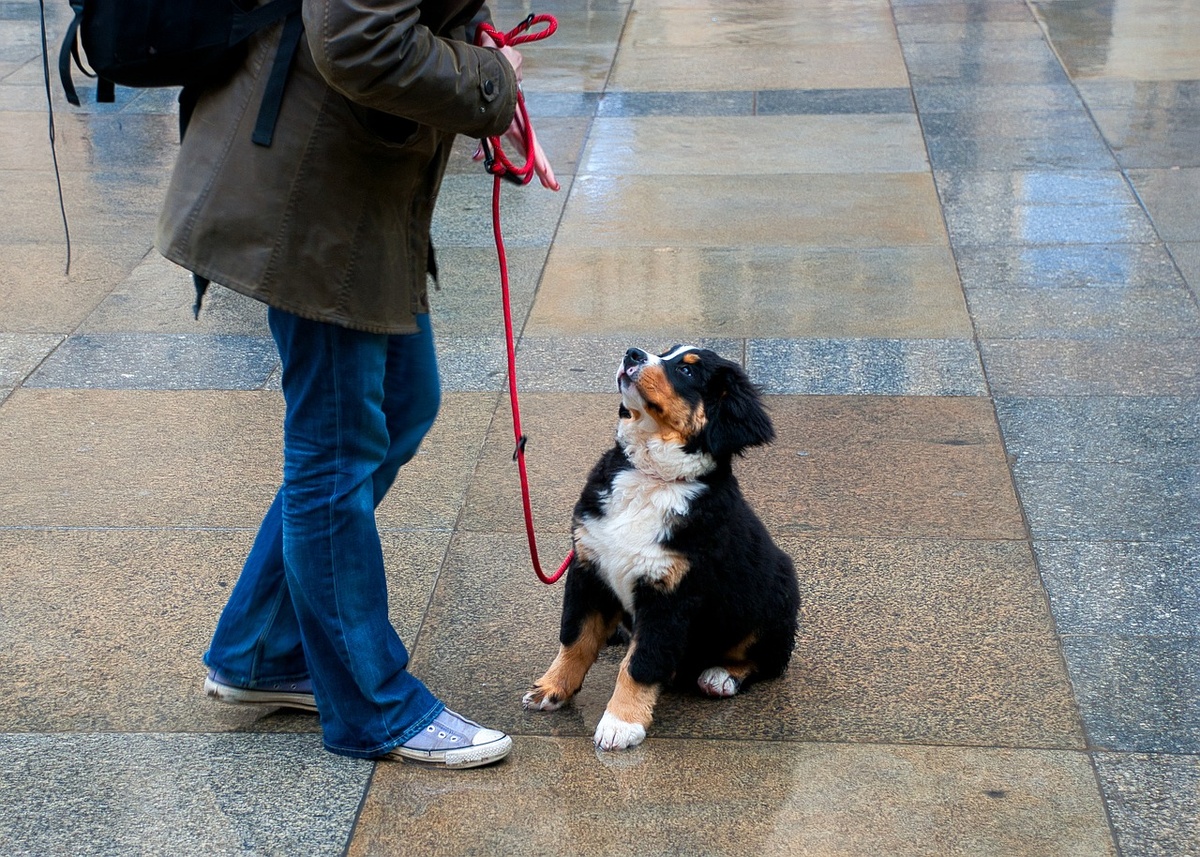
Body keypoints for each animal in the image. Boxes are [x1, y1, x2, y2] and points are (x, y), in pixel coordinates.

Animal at [523, 343, 796, 744]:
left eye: (686, 371)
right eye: (666, 352)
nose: (633, 354)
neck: (651, 479)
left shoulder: (671, 592)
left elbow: (641, 662)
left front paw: (622, 722)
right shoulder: (589, 567)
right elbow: (575, 638)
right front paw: (552, 687)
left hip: (777, 596)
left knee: (769, 660)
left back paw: (722, 675)